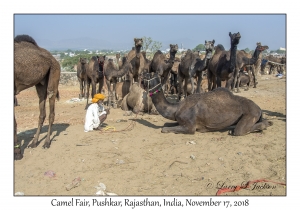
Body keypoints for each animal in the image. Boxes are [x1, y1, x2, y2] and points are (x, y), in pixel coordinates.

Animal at [142, 72, 274, 135]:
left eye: (147, 75)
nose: (140, 78)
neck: (176, 108)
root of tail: (259, 108)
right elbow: (166, 124)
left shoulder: (190, 126)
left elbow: (164, 129)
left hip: (251, 113)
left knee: (240, 130)